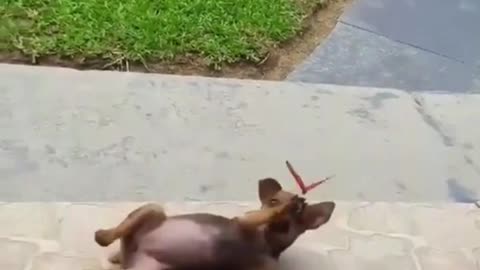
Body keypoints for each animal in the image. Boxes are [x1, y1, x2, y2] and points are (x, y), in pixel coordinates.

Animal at [94, 178, 334, 268]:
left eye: (301, 216)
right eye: (273, 200)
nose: (293, 207)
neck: (267, 242)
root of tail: (132, 253)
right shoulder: (246, 221)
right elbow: (261, 215)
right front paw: (285, 207)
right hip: (154, 209)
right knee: (107, 237)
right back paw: (104, 237)